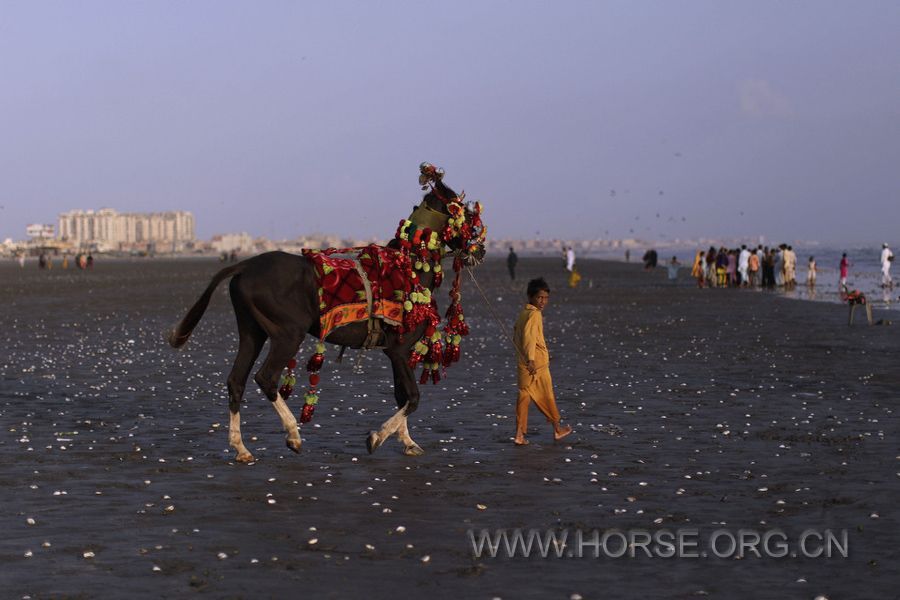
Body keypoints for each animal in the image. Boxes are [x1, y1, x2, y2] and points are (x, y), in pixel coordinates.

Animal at [172, 162, 488, 462]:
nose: (480, 250)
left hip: (253, 332)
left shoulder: (398, 353)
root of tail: (245, 265)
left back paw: (241, 449)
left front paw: (408, 442)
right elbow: (412, 397)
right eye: (466, 214)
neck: (409, 267)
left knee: (236, 381)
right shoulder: (398, 350)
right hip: (288, 334)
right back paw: (293, 435)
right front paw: (377, 437)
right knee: (266, 378)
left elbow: (402, 396)